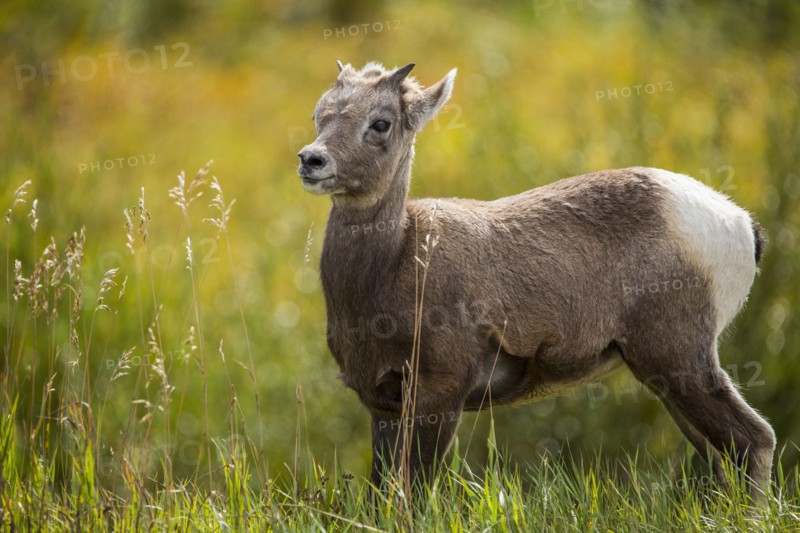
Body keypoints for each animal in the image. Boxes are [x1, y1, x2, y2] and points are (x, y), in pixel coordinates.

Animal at [296, 61, 775, 498]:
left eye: (381, 123)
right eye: (320, 113)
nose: (311, 160)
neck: (395, 262)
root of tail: (741, 223)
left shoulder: (438, 395)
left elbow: (412, 492)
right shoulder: (382, 407)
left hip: (679, 358)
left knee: (754, 439)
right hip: (665, 379)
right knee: (721, 455)